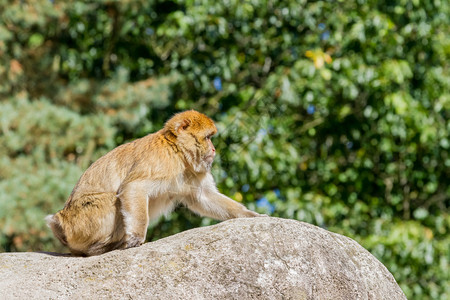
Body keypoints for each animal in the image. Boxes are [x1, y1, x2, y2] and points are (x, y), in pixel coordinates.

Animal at [46, 110, 262, 255]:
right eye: (208, 138)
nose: (214, 149)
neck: (178, 151)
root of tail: (60, 220)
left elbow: (203, 197)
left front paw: (250, 215)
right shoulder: (161, 161)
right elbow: (134, 187)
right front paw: (136, 237)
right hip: (81, 221)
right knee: (112, 201)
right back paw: (100, 248)